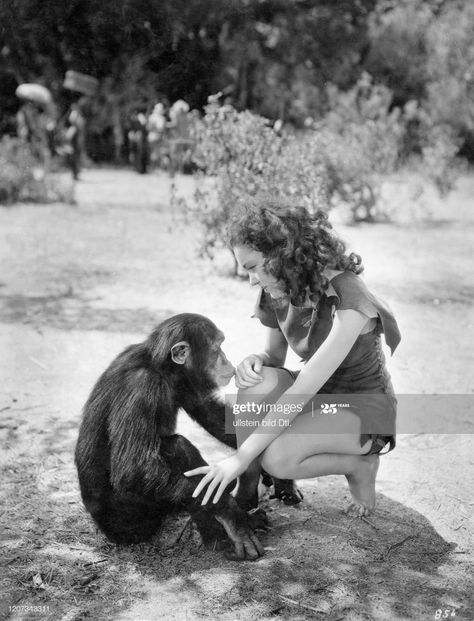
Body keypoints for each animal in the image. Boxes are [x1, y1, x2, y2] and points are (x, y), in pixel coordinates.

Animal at [75, 312, 300, 560]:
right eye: (217, 348)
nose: (226, 359)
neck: (161, 368)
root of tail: (103, 529)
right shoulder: (140, 388)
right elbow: (132, 469)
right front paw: (230, 511)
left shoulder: (186, 381)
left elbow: (209, 411)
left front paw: (280, 476)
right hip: (130, 523)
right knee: (178, 447)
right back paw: (224, 535)